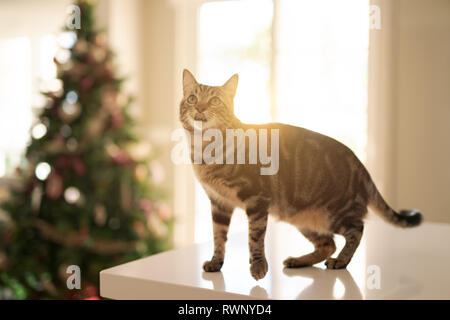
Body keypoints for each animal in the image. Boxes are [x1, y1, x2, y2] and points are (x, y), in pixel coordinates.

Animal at [178, 69, 422, 280]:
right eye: (192, 98)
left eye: (214, 101)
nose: (199, 108)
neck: (205, 150)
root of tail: (359, 163)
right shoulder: (219, 203)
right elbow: (218, 237)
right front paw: (215, 263)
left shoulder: (256, 198)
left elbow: (255, 237)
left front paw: (258, 266)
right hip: (302, 217)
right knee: (328, 244)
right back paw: (299, 261)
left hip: (335, 212)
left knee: (356, 231)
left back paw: (340, 261)